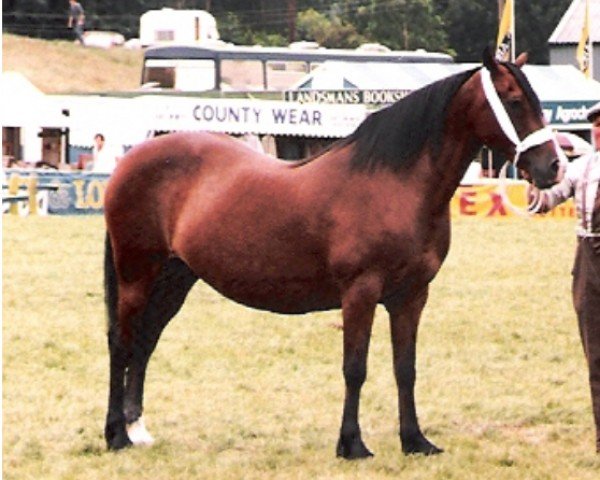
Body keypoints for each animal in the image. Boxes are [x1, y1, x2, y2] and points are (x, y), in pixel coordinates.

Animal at [104, 49, 564, 458]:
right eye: (513, 100)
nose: (554, 167)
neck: (396, 184)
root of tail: (131, 159)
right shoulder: (360, 292)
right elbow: (354, 368)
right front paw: (352, 445)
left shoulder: (411, 296)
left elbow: (406, 368)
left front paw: (415, 441)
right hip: (137, 275)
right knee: (121, 343)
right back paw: (116, 436)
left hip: (175, 278)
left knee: (144, 342)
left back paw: (137, 429)